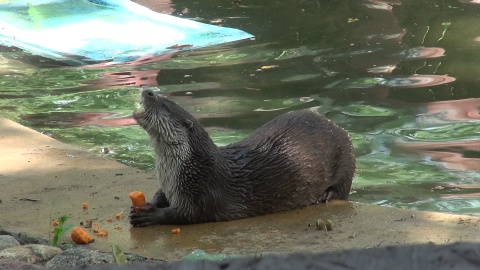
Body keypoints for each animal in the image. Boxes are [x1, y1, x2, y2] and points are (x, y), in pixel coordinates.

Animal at [129, 87, 354, 227]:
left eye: (165, 105)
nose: (147, 90)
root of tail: (336, 126)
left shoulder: (204, 187)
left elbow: (188, 213)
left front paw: (151, 215)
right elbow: (161, 195)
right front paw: (143, 205)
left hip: (345, 155)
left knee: (342, 187)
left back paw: (327, 196)